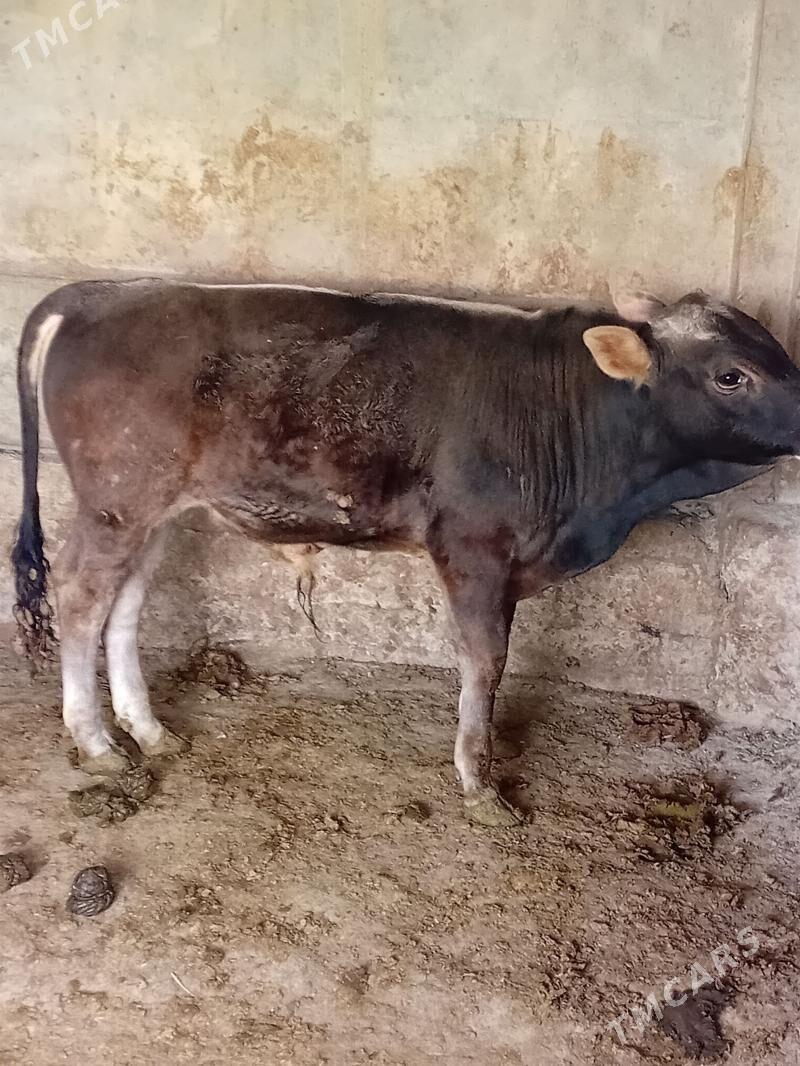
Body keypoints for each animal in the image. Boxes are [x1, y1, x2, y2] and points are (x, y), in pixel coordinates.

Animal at [11, 280, 800, 825]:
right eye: (731, 374)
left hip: (156, 511)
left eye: (778, 351)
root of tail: (101, 290)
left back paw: (148, 730)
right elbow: (485, 660)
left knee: (124, 605)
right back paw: (98, 743)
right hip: (118, 499)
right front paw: (480, 782)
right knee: (80, 595)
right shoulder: (473, 544)